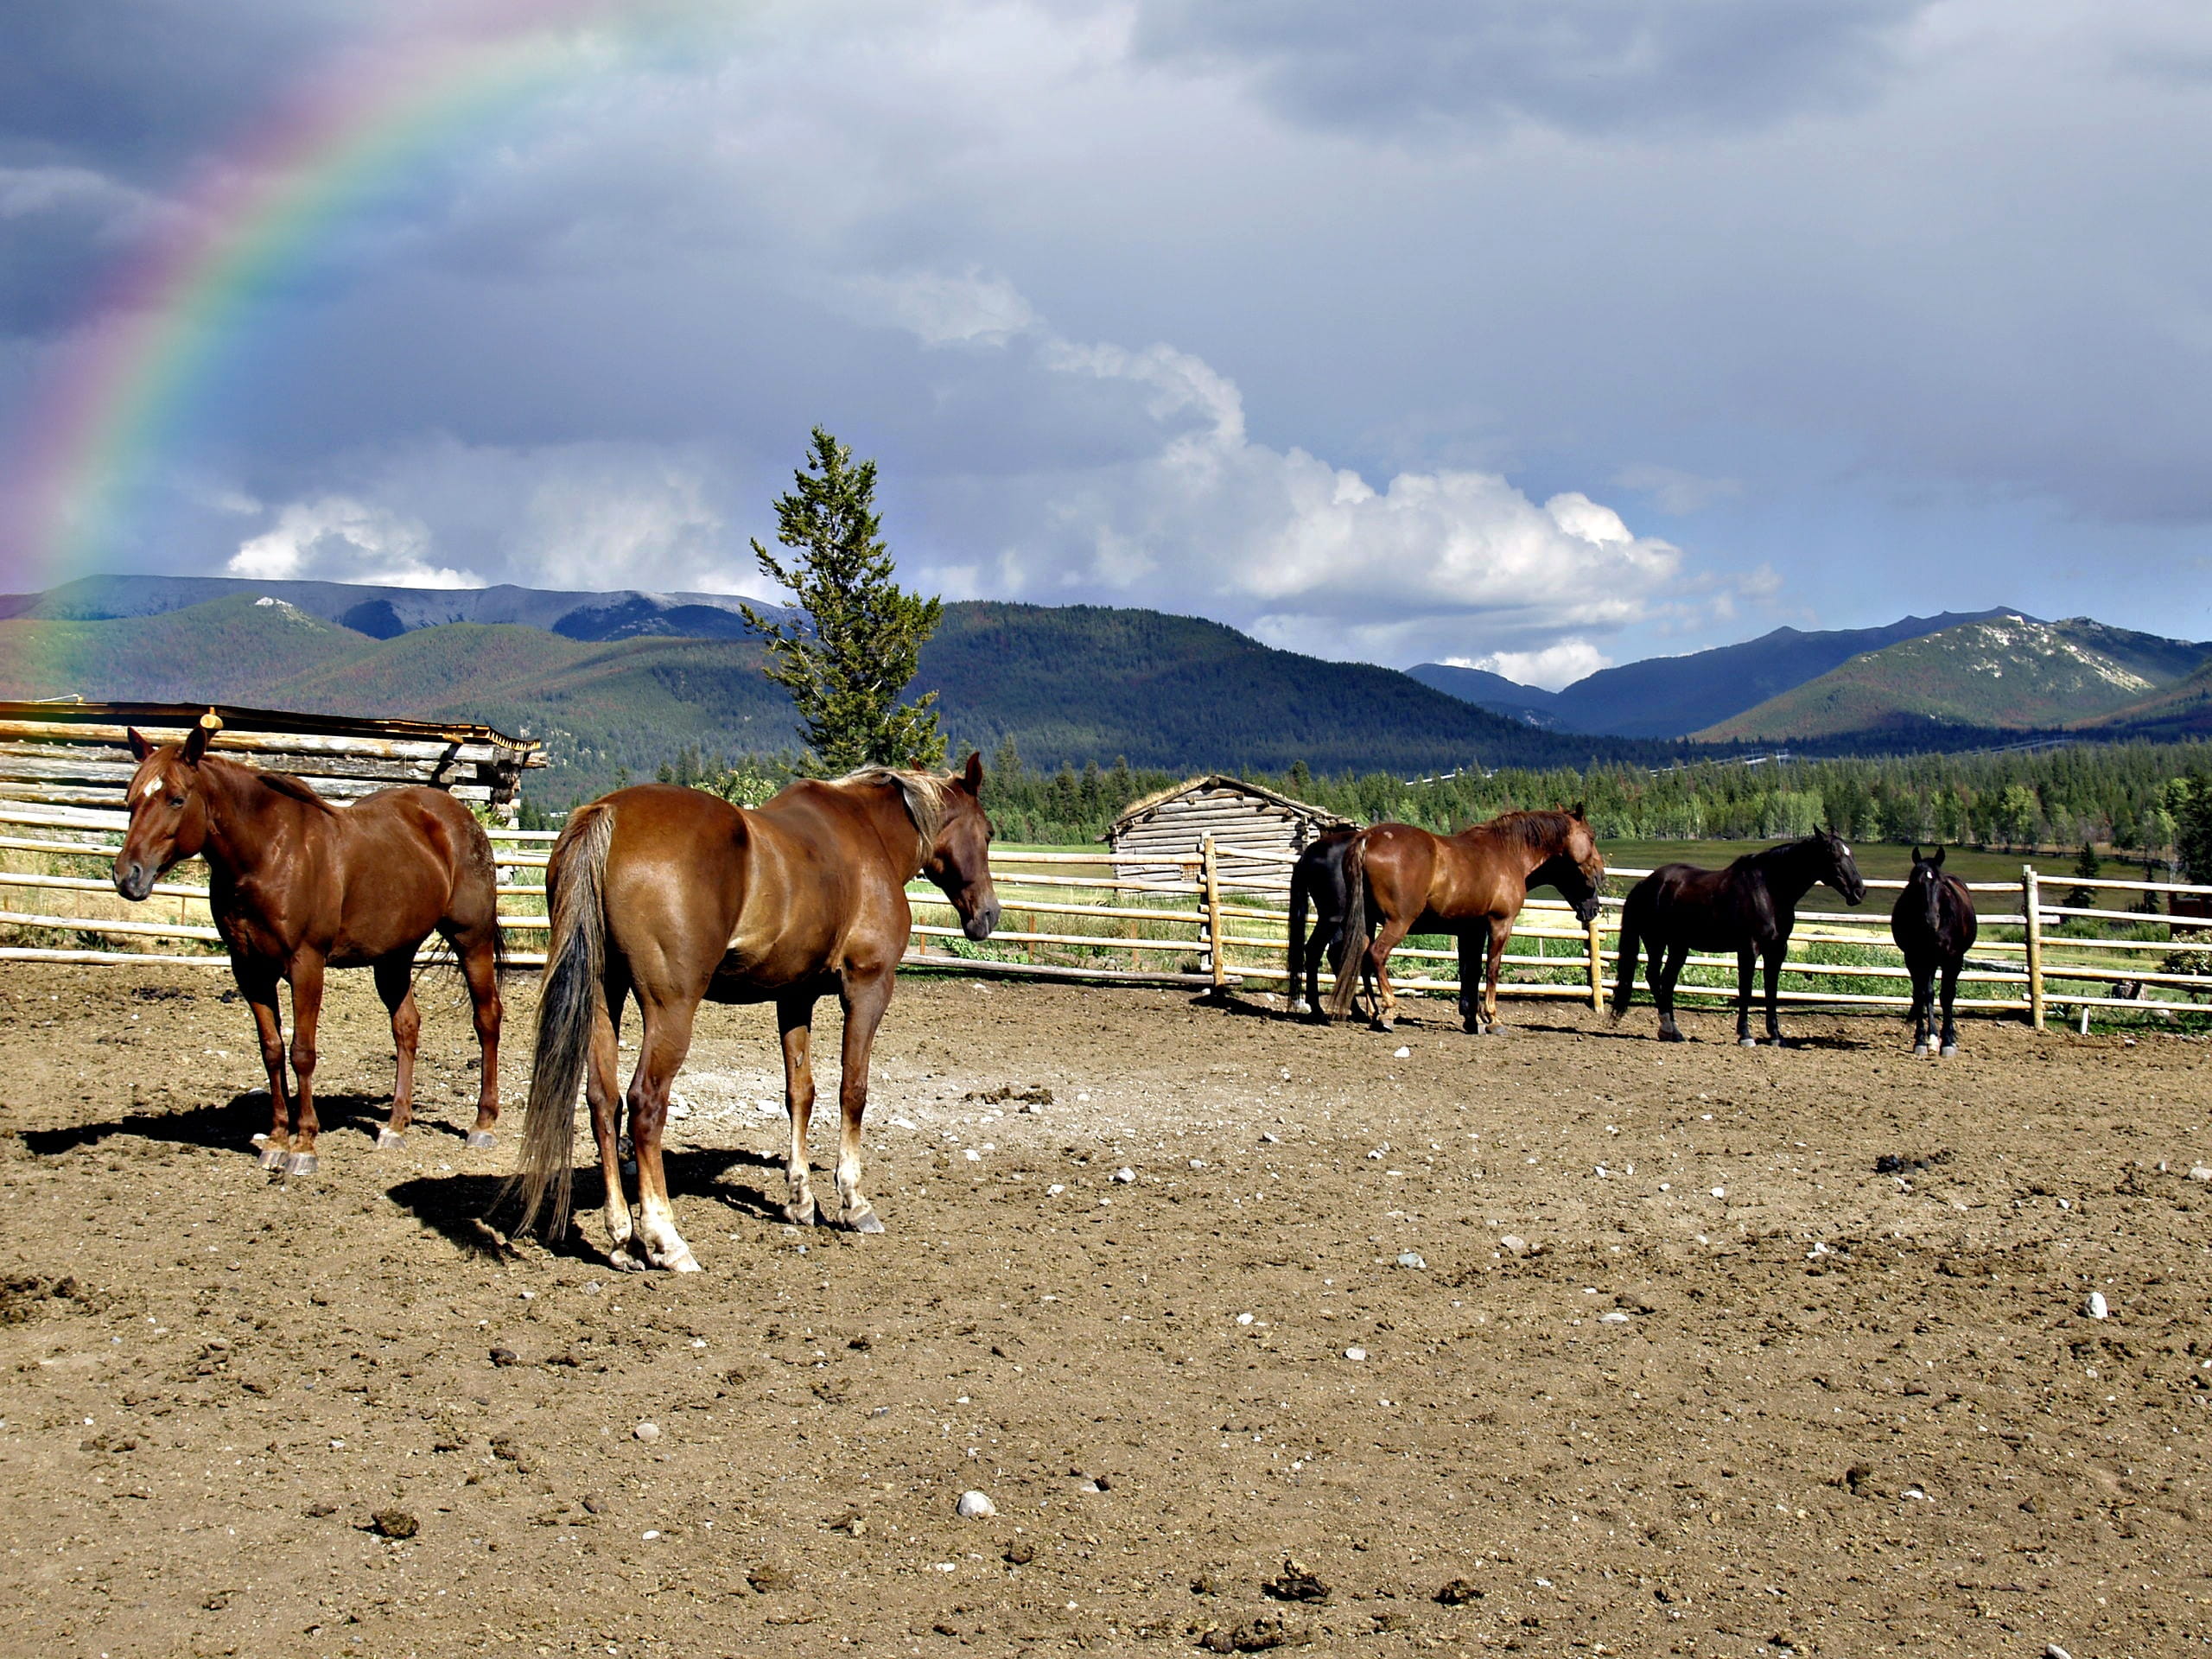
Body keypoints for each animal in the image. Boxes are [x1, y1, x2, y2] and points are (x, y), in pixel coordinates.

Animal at [111, 714, 505, 1175]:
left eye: (175, 799)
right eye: (130, 799)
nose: (128, 875)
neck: (267, 853)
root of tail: (459, 819)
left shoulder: (306, 964)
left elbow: (302, 1052)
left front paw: (304, 1147)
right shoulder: (249, 969)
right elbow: (272, 1050)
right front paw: (277, 1140)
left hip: (471, 939)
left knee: (487, 1019)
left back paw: (483, 1123)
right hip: (394, 955)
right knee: (406, 1026)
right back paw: (395, 1125)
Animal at [510, 755, 999, 1273]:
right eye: (987, 832)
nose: (988, 914)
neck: (869, 836)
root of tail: (608, 813)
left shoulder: (795, 997)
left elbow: (800, 1093)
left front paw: (800, 1199)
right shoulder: (868, 987)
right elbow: (853, 1090)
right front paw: (853, 1201)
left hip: (604, 997)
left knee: (604, 1103)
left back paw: (623, 1239)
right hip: (670, 1009)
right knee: (645, 1105)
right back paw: (667, 1240)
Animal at [1325, 807, 1606, 1033]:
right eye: (1591, 837)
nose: (1600, 876)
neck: (1508, 853)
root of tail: (1367, 838)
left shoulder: (1471, 930)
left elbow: (1470, 970)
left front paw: (1472, 1019)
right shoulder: (1499, 924)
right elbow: (1492, 968)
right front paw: (1492, 1018)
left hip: (1368, 922)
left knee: (1361, 958)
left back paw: (1374, 1013)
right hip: (1397, 923)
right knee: (1377, 955)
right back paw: (1388, 1010)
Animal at [1610, 828, 1866, 1046]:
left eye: (1851, 854)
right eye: (1833, 855)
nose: (1859, 891)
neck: (1769, 890)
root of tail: (1646, 883)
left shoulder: (1777, 950)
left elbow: (1771, 991)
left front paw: (1776, 1037)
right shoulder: (1748, 949)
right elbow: (1746, 990)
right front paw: (1745, 1035)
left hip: (1678, 946)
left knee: (1667, 980)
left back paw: (1674, 1032)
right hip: (1656, 942)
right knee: (1654, 977)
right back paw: (1667, 1028)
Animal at [1891, 845, 1977, 1057]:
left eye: (1940, 883)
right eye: (1916, 883)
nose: (1931, 920)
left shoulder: (1953, 959)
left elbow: (1947, 996)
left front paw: (1948, 1042)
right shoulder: (1913, 958)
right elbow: (1922, 995)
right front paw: (1922, 1040)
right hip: (1928, 961)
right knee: (1927, 993)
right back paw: (1932, 1037)